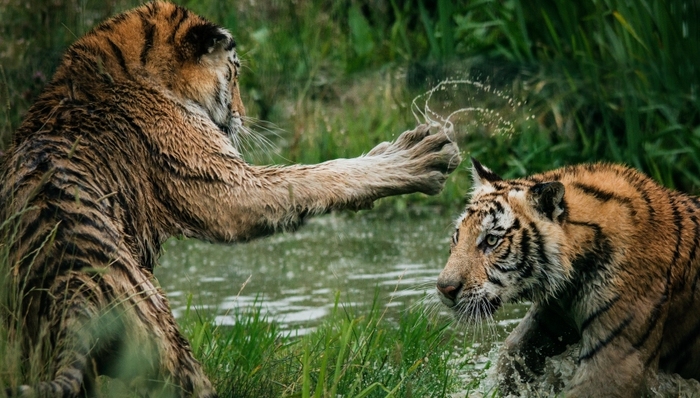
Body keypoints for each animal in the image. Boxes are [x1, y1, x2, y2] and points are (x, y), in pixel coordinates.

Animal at [0, 1, 462, 396]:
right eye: (235, 74)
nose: (242, 116)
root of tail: (72, 292)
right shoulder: (225, 185)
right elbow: (316, 176)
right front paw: (418, 157)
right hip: (167, 346)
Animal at [438, 159, 700, 398]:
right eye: (457, 236)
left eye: (492, 240)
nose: (443, 288)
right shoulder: (551, 318)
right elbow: (511, 356)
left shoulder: (617, 362)